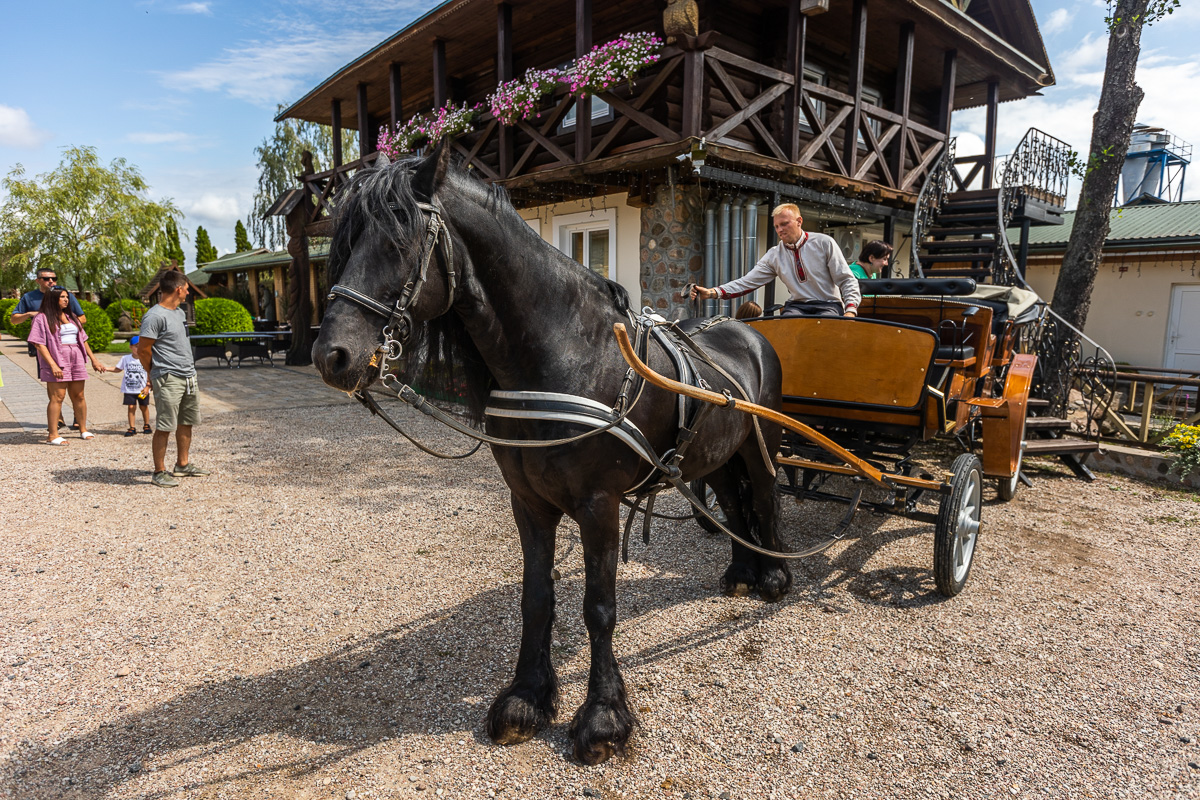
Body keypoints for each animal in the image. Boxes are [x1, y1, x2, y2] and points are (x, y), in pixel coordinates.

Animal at [314, 143, 792, 762]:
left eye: (399, 242)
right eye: (346, 244)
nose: (332, 356)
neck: (569, 354)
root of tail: (749, 331)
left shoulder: (598, 505)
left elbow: (599, 607)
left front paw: (604, 718)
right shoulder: (529, 502)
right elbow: (536, 598)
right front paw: (527, 698)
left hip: (760, 446)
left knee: (766, 496)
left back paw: (775, 575)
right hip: (716, 453)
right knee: (733, 504)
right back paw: (740, 572)